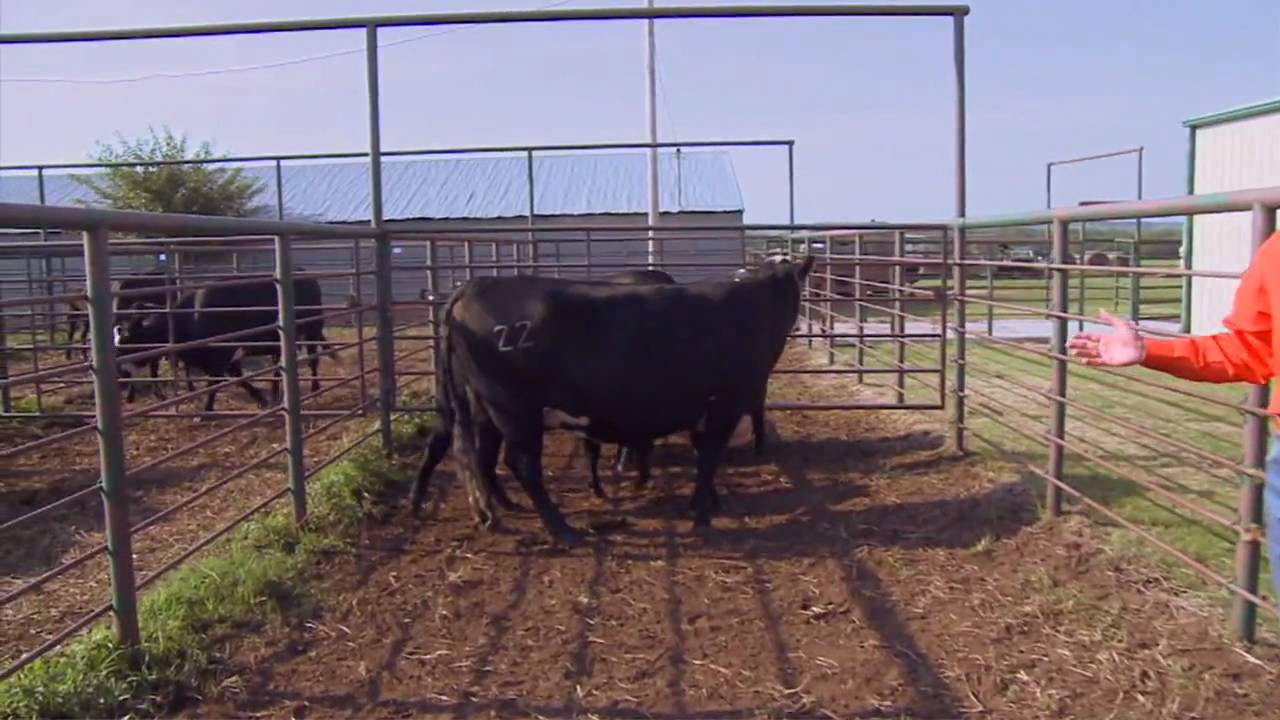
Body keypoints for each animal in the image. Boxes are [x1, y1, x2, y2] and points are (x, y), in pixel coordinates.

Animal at [416, 255, 814, 545]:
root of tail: (478, 283)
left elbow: (704, 455)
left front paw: (708, 502)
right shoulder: (724, 404)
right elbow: (709, 458)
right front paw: (702, 512)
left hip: (485, 409)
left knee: (482, 457)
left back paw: (504, 509)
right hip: (514, 409)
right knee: (522, 463)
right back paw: (563, 530)